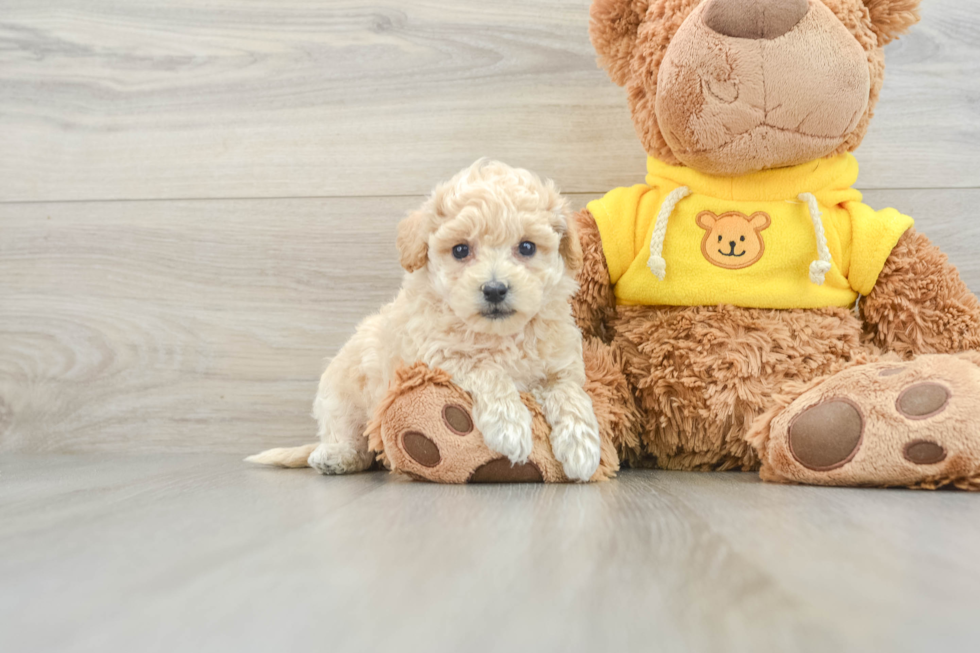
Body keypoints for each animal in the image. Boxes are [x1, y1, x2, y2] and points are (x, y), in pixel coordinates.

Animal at [249, 160, 600, 482]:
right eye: (460, 250)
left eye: (527, 247)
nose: (495, 289)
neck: (501, 335)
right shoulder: (438, 356)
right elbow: (487, 370)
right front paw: (509, 426)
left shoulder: (560, 366)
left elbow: (571, 394)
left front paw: (582, 448)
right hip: (340, 396)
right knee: (353, 441)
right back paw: (336, 457)